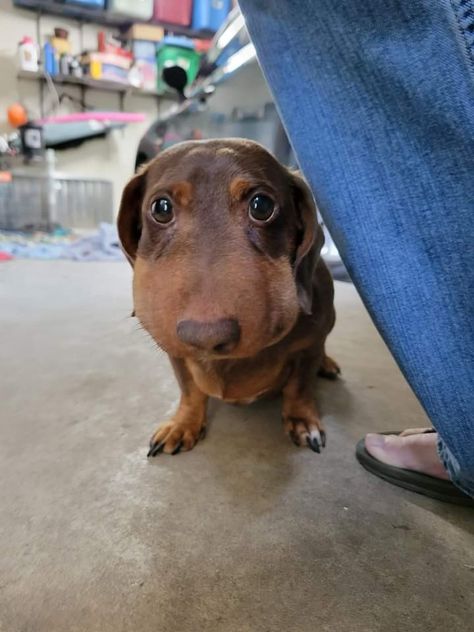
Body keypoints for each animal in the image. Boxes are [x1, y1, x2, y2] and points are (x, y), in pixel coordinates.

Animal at [118, 138, 340, 456]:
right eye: (161, 208)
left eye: (262, 205)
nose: (206, 337)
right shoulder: (176, 353)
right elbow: (190, 389)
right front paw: (184, 423)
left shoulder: (309, 345)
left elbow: (299, 386)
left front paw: (302, 420)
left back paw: (326, 363)